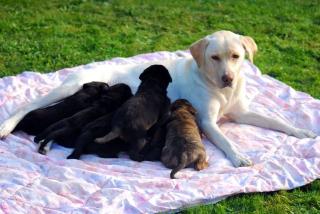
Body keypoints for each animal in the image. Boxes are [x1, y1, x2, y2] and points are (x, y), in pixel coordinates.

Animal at [0, 30, 316, 167]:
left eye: (236, 57)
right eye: (215, 57)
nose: (228, 78)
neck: (218, 88)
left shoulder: (243, 111)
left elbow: (277, 121)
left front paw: (301, 131)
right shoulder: (207, 122)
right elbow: (226, 140)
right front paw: (238, 156)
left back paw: (47, 143)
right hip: (67, 90)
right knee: (28, 105)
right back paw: (7, 126)